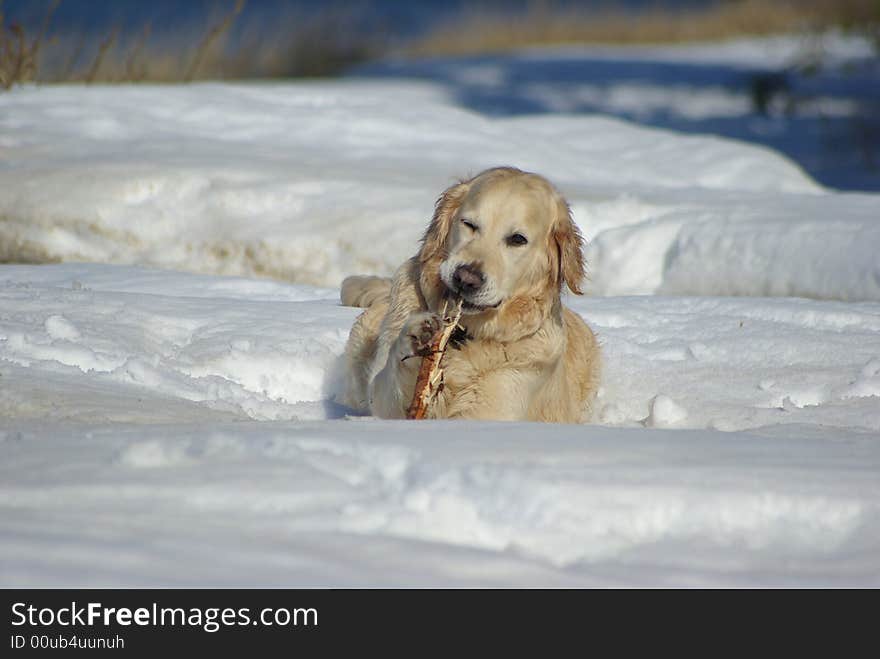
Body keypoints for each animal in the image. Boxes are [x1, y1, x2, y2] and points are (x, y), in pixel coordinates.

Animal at [340, 165, 600, 422]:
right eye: (469, 224)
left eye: (517, 239)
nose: (465, 279)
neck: (463, 335)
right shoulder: (383, 398)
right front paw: (417, 335)